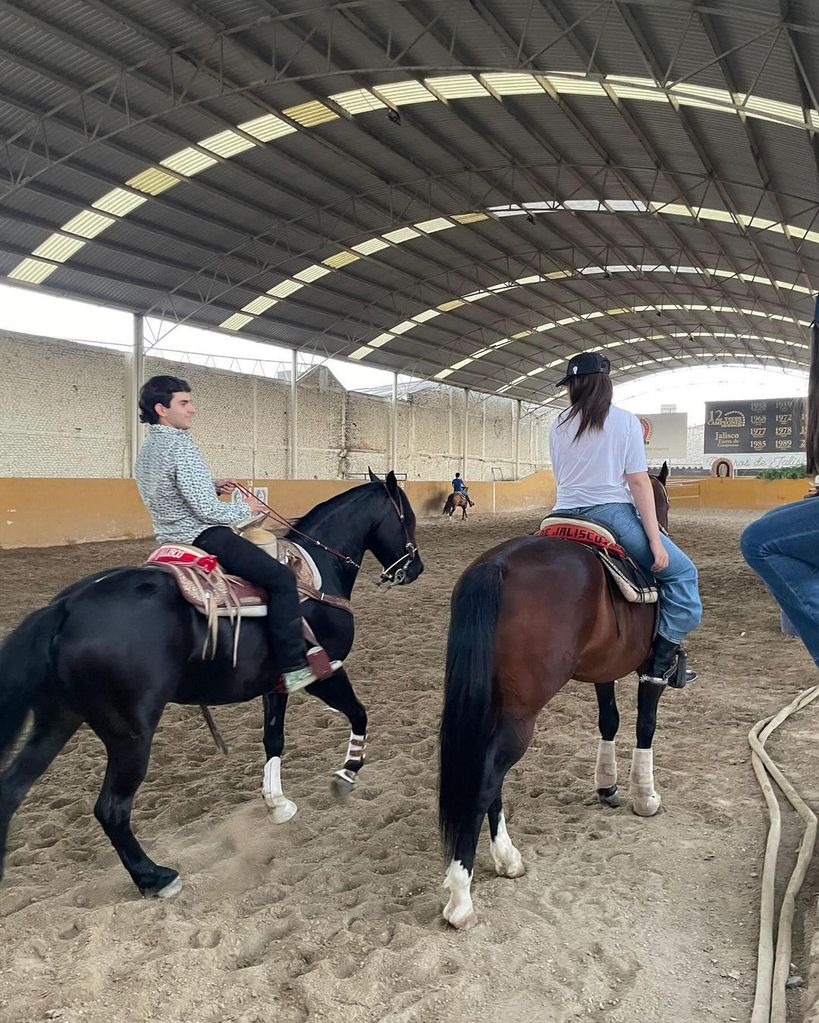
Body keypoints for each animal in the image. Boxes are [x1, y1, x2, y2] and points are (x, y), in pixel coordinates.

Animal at [0, 468, 421, 896]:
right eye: (407, 518)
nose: (414, 569)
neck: (317, 573)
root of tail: (65, 608)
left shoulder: (276, 684)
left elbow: (274, 738)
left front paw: (277, 804)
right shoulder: (325, 672)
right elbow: (359, 713)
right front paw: (346, 773)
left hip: (58, 720)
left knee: (11, 791)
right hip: (129, 735)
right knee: (111, 809)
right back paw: (156, 877)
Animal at [441, 464, 670, 928]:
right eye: (665, 503)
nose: (664, 538)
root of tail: (495, 566)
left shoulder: (605, 670)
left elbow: (609, 720)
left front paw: (607, 786)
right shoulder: (649, 671)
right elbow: (645, 724)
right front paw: (645, 797)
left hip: (497, 705)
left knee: (487, 772)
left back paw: (507, 858)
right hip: (521, 714)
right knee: (487, 777)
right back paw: (461, 897)